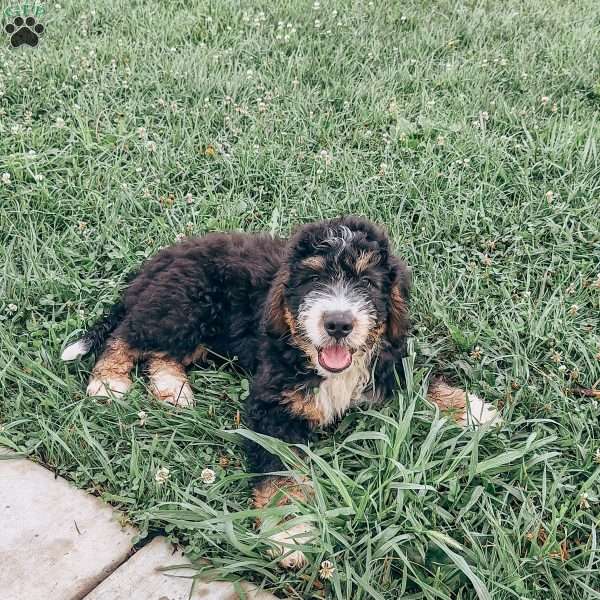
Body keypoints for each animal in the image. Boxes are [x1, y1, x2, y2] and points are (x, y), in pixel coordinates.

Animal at [63, 216, 500, 568]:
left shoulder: (385, 362)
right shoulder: (272, 408)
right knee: (130, 335)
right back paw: (109, 381)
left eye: (365, 281)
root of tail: (156, 262)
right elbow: (281, 476)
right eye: (312, 279)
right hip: (183, 303)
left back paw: (172, 387)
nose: (338, 323)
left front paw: (470, 410)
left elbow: (420, 378)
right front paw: (290, 534)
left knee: (162, 351)